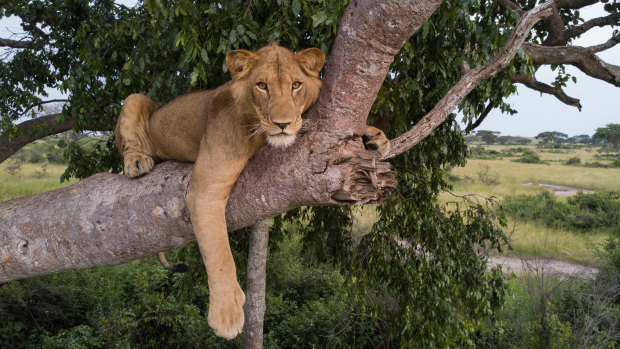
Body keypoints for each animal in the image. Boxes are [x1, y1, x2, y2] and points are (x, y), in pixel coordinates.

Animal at [114, 42, 390, 338]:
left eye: (296, 85)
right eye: (261, 86)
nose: (283, 124)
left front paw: (375, 136)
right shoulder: (205, 190)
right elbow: (219, 252)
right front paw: (226, 313)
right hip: (135, 99)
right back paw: (137, 162)